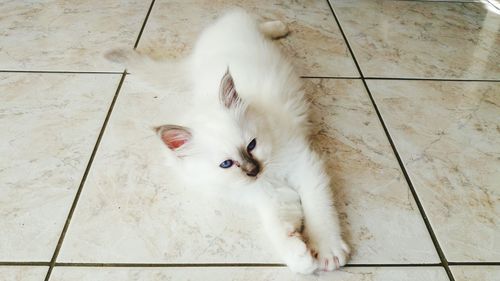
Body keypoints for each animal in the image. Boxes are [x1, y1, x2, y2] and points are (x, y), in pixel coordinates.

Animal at [105, 9, 348, 274]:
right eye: (226, 164)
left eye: (252, 145)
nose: (253, 170)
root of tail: (203, 45)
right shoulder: (269, 195)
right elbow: (277, 227)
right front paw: (300, 256)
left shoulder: (304, 166)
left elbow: (319, 210)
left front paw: (327, 251)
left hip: (244, 25)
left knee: (259, 24)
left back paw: (279, 27)